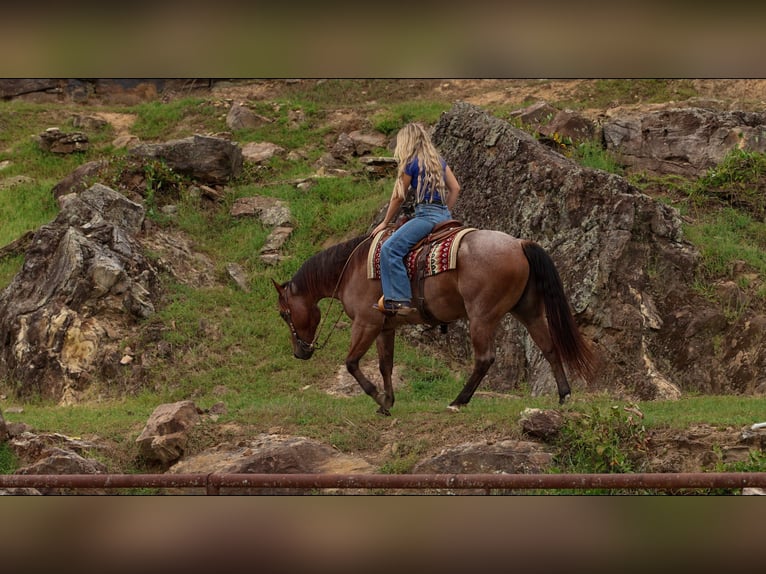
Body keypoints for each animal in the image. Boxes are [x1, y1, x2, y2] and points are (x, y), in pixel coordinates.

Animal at [273, 228, 595, 416]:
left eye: (284, 314)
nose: (299, 352)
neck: (352, 267)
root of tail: (519, 244)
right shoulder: (385, 327)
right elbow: (385, 365)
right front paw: (387, 403)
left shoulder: (366, 324)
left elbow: (352, 363)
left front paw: (377, 397)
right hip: (528, 311)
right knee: (549, 348)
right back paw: (564, 395)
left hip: (481, 316)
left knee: (484, 358)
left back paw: (458, 400)